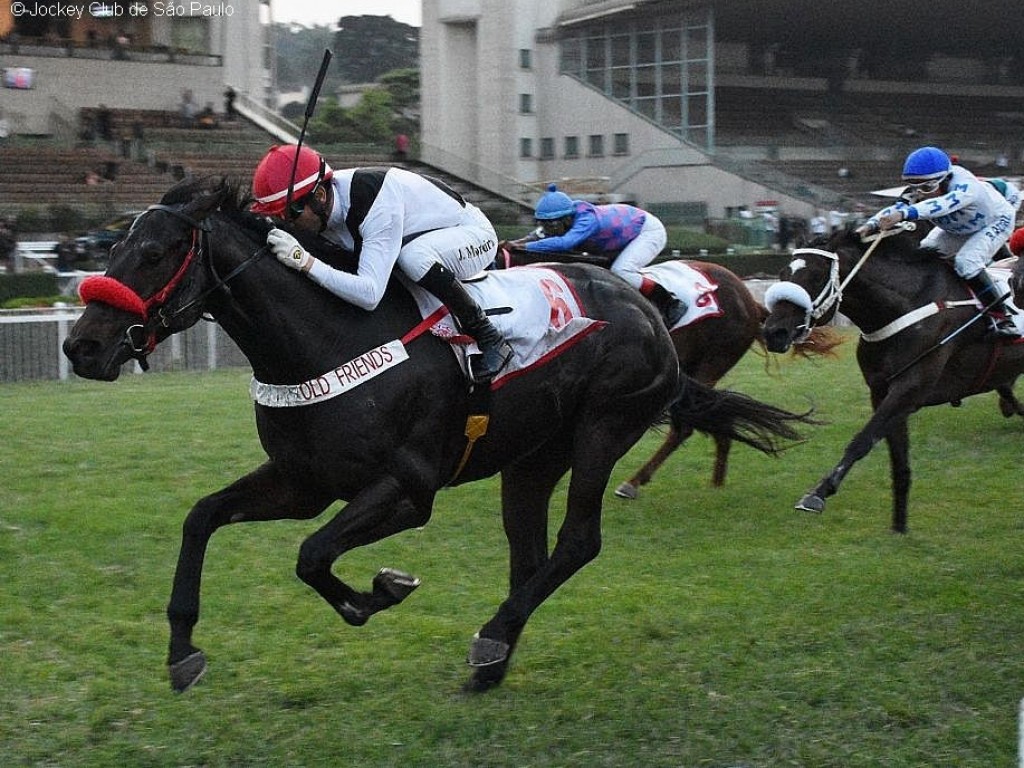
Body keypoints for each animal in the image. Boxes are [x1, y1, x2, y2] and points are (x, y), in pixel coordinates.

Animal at [64, 179, 815, 692]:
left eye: (154, 253)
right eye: (114, 246)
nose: (81, 347)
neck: (327, 340)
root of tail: (647, 309)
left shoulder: (408, 487)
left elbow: (312, 555)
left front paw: (380, 590)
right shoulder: (303, 482)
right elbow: (202, 518)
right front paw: (181, 652)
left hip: (605, 425)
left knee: (578, 542)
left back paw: (492, 638)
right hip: (531, 458)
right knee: (529, 553)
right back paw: (495, 660)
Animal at [761, 225, 1024, 532]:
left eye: (814, 276)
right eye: (783, 274)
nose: (773, 332)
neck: (905, 305)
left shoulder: (909, 389)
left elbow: (862, 440)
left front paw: (818, 494)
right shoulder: (883, 392)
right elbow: (899, 462)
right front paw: (899, 527)